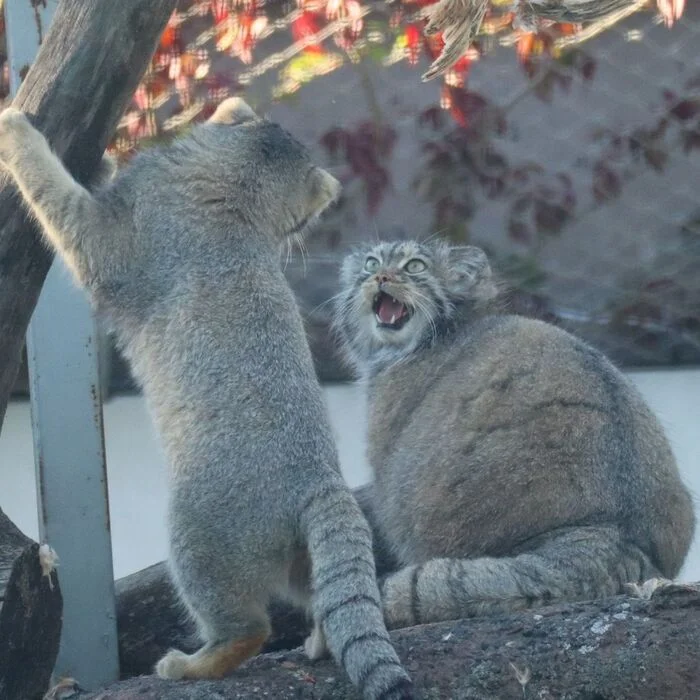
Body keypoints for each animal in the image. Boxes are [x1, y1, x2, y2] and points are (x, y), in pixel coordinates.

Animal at [0, 100, 412, 700]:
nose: (301, 237)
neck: (229, 199)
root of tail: (322, 482)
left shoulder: (106, 241)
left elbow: (50, 187)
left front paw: (14, 127)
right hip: (301, 562)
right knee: (331, 602)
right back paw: (319, 640)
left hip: (197, 539)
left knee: (250, 629)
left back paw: (194, 664)